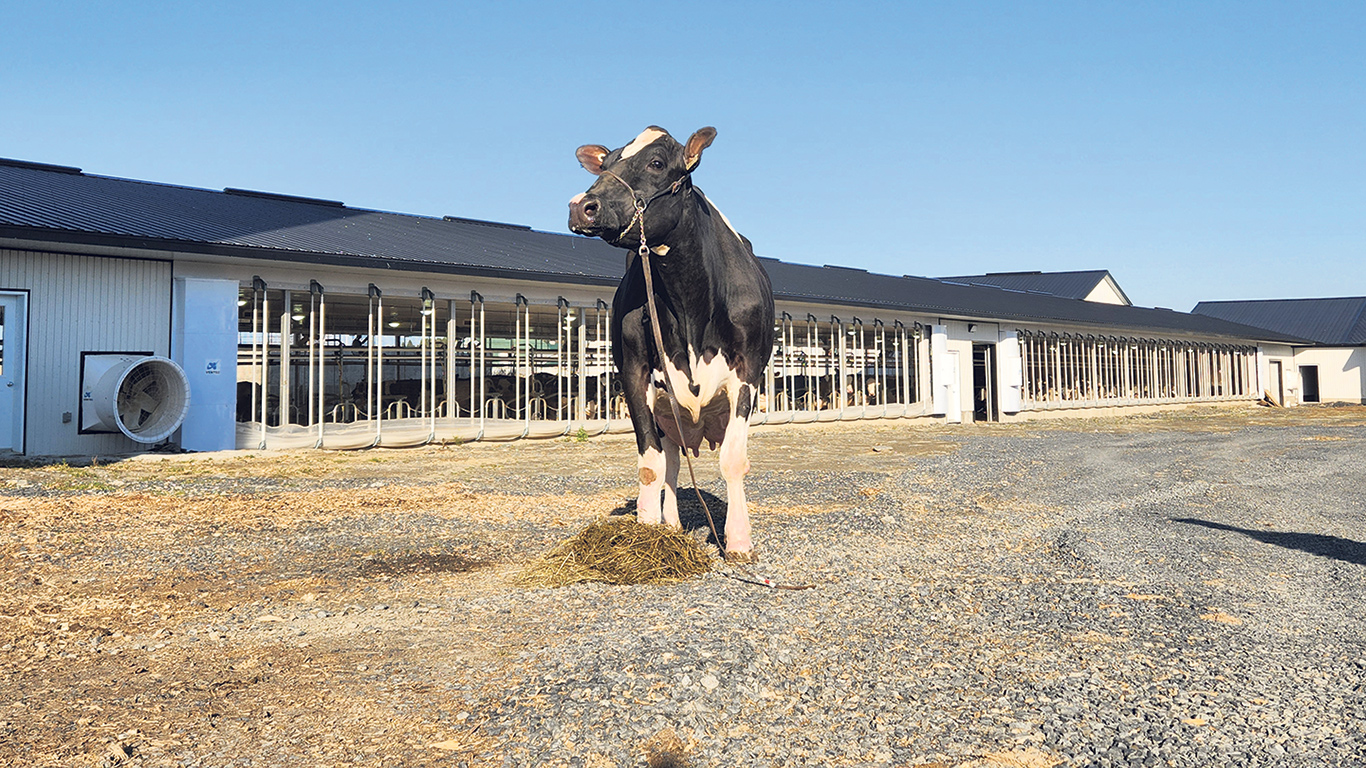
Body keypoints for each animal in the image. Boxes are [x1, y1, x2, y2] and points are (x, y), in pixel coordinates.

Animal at [568, 124, 781, 554]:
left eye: (656, 162)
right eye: (607, 161)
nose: (581, 205)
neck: (688, 304)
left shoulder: (747, 372)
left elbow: (734, 460)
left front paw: (738, 541)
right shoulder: (633, 371)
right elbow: (651, 465)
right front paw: (649, 534)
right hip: (670, 410)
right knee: (672, 461)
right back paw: (671, 526)